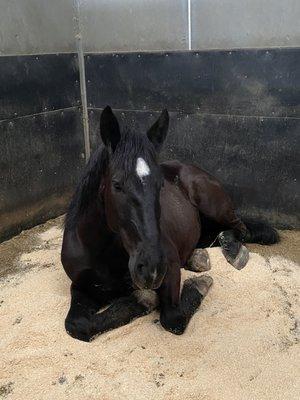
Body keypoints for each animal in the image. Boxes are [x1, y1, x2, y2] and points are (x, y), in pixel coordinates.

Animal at [61, 106, 278, 340]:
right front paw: (142, 300)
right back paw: (198, 257)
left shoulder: (171, 268)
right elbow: (77, 324)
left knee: (240, 229)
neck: (102, 252)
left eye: (160, 185)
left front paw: (197, 285)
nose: (151, 268)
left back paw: (234, 253)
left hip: (213, 206)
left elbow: (173, 319)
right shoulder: (81, 287)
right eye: (117, 185)